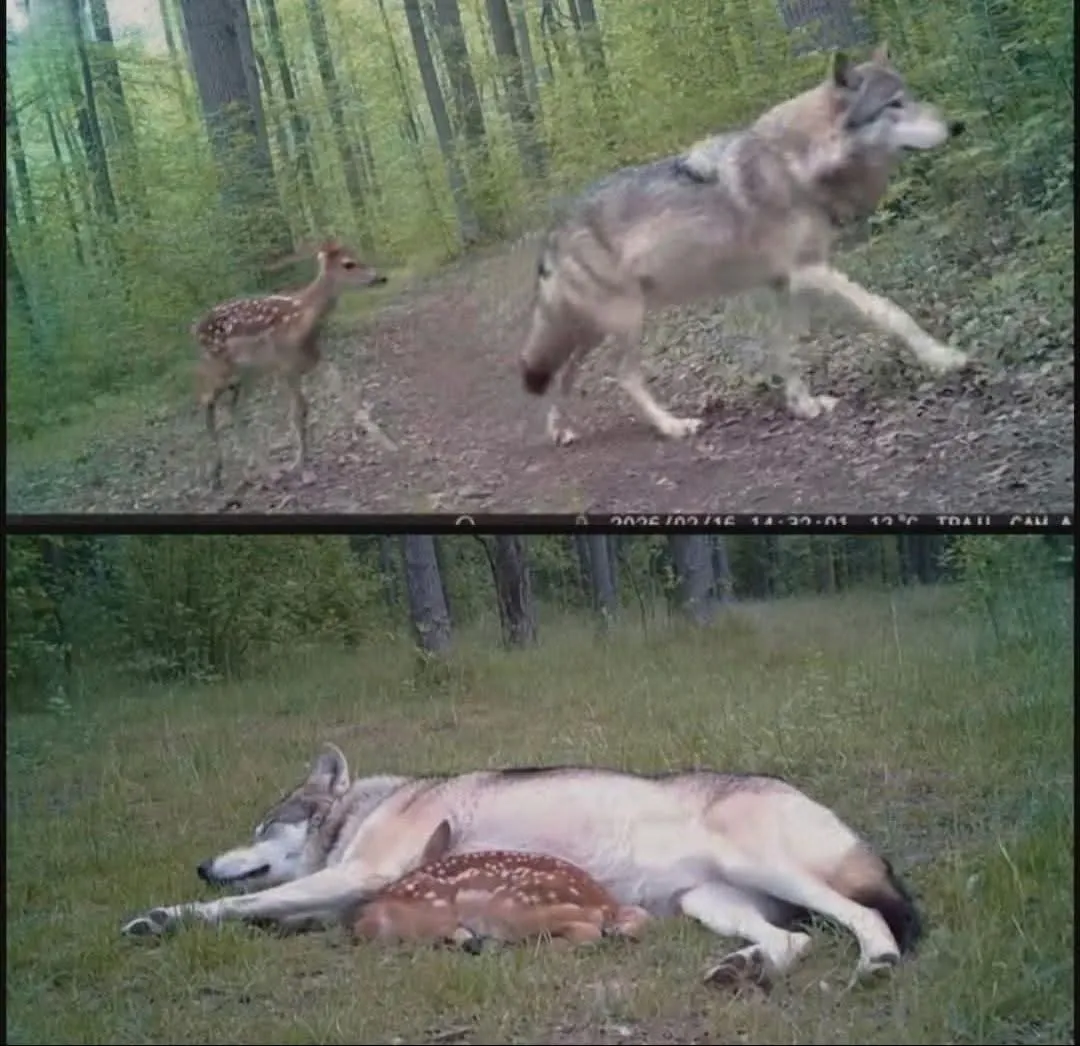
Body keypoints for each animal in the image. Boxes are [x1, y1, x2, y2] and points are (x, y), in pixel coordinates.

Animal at [120, 743, 922, 988]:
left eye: (262, 825)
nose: (201, 865)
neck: (366, 811)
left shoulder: (360, 875)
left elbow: (241, 905)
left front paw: (162, 915)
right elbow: (268, 913)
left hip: (768, 869)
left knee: (865, 916)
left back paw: (877, 962)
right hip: (711, 903)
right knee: (795, 941)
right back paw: (742, 970)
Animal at [519, 44, 968, 447]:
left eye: (911, 97)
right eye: (894, 104)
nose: (958, 126)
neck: (798, 165)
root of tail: (553, 232)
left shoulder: (783, 283)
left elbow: (785, 349)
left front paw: (803, 404)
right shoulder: (809, 271)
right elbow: (888, 311)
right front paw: (943, 357)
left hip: (594, 329)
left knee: (564, 374)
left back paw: (560, 430)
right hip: (627, 321)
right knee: (621, 375)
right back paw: (672, 426)